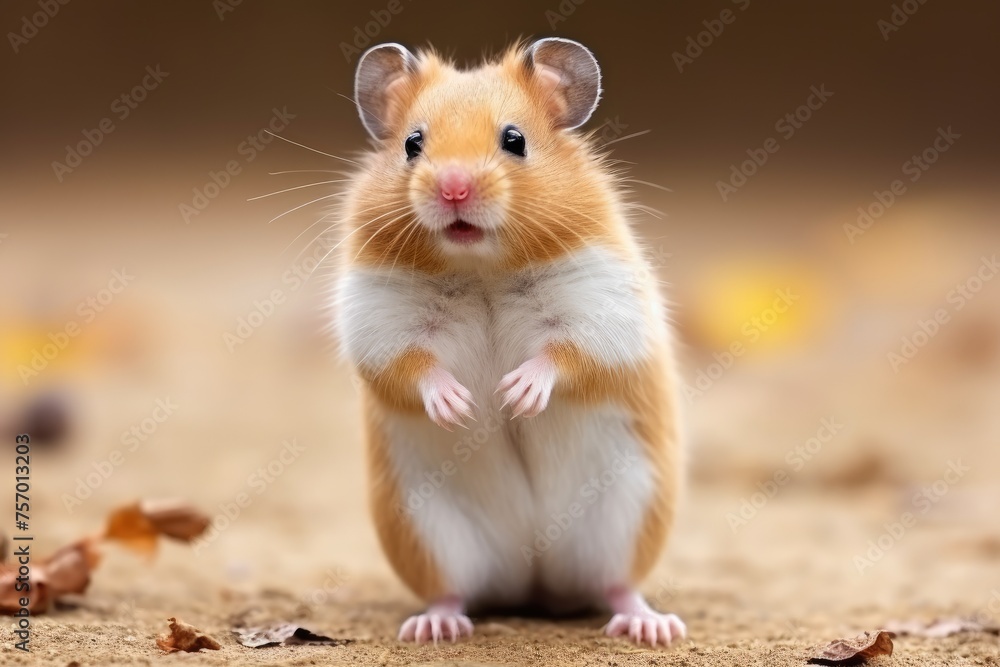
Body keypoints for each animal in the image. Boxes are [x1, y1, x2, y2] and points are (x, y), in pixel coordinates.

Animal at [336, 37, 688, 648]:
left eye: (515, 140)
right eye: (412, 144)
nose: (454, 188)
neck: (481, 267)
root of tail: (535, 581)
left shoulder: (600, 311)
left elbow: (562, 355)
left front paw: (515, 395)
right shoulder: (381, 322)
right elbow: (415, 365)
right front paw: (460, 407)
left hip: (627, 514)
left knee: (617, 586)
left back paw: (652, 627)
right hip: (429, 530)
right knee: (454, 592)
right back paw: (435, 626)